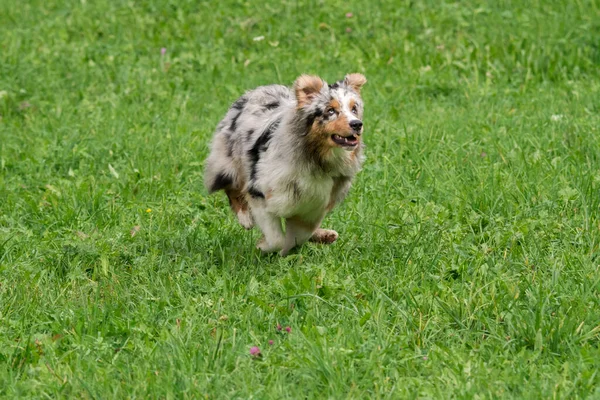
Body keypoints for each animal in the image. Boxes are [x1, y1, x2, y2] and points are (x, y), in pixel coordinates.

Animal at [205, 73, 366, 255]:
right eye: (330, 111)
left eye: (354, 109)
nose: (357, 124)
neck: (315, 159)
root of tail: (256, 90)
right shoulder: (261, 194)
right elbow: (276, 239)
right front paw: (264, 246)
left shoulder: (313, 207)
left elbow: (299, 235)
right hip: (229, 163)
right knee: (231, 187)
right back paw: (245, 218)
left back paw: (325, 235)